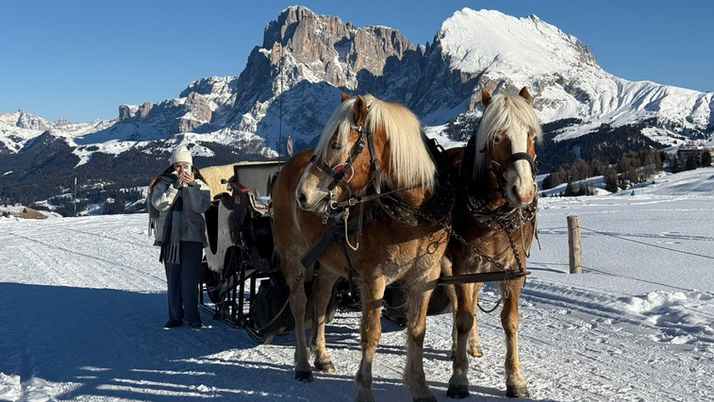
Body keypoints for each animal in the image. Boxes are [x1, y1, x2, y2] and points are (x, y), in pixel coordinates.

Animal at [271, 93, 450, 401]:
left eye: (336, 144)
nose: (302, 195)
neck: (413, 215)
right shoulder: (373, 278)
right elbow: (371, 332)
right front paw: (364, 389)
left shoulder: (425, 278)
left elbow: (417, 330)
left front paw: (420, 386)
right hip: (293, 256)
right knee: (299, 304)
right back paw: (303, 363)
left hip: (329, 261)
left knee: (320, 300)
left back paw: (322, 356)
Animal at [445, 87, 541, 399]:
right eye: (496, 137)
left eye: (531, 135)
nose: (524, 192)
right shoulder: (462, 267)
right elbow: (463, 317)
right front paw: (458, 378)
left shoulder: (513, 269)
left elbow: (510, 321)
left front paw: (516, 379)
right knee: (457, 305)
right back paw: (457, 348)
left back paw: (472, 346)